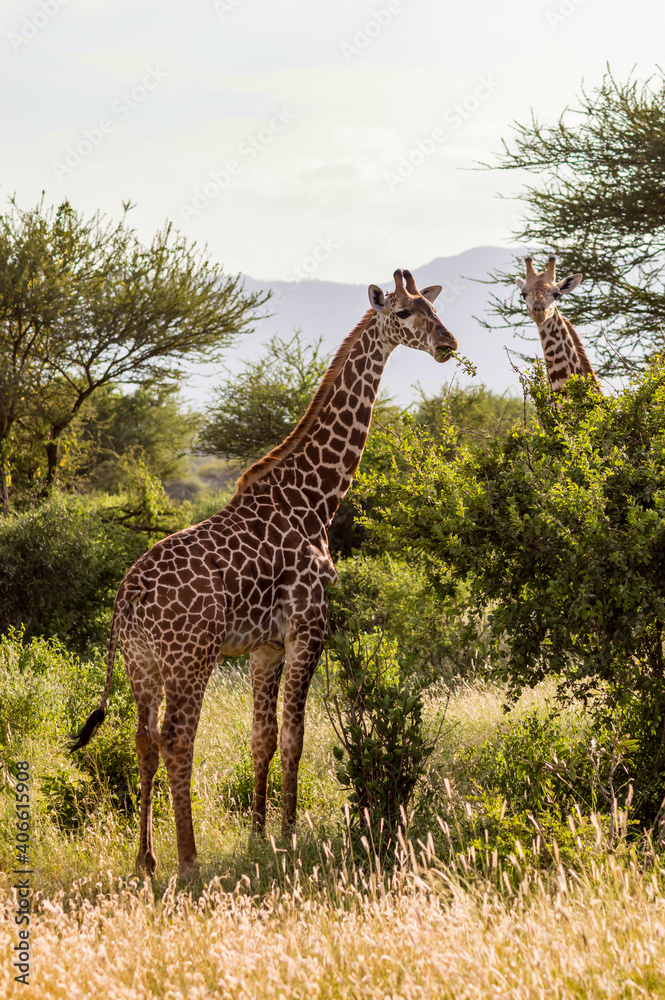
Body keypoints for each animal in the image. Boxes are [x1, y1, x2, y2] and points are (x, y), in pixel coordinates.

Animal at [70, 268, 459, 878]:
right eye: (402, 314)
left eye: (433, 308)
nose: (448, 344)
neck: (316, 499)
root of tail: (125, 599)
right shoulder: (307, 630)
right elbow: (297, 736)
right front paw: (291, 836)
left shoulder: (264, 646)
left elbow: (263, 737)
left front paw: (258, 836)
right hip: (191, 658)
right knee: (178, 740)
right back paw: (188, 860)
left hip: (142, 665)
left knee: (144, 740)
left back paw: (146, 859)